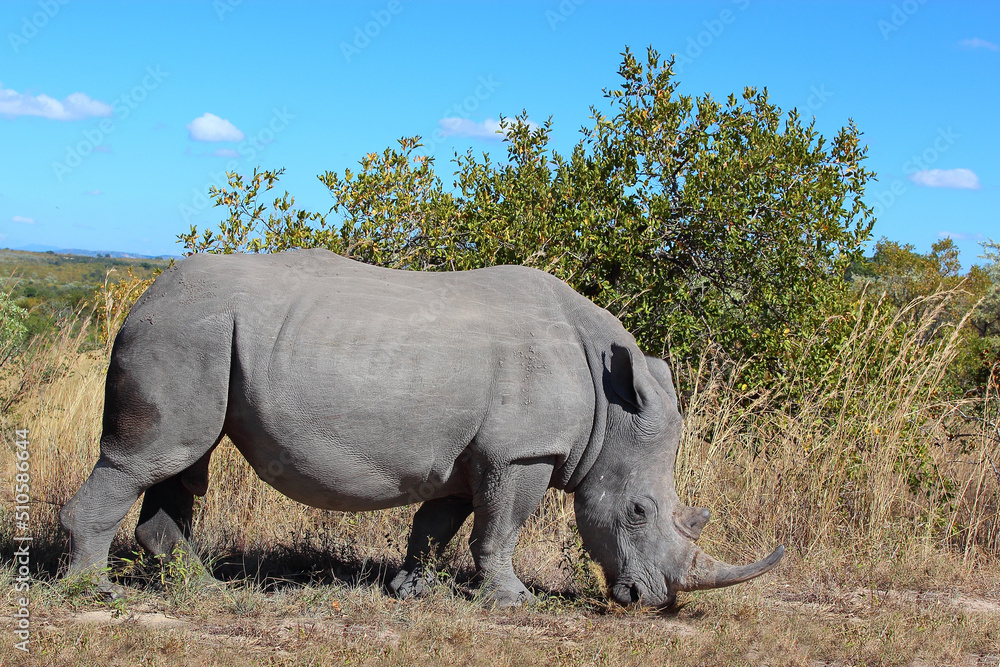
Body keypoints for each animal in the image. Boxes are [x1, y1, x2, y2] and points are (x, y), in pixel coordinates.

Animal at [60, 248, 783, 607]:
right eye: (637, 511)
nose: (651, 599)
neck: (610, 409)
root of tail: (143, 295)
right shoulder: (524, 452)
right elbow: (500, 528)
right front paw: (513, 601)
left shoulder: (476, 452)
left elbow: (438, 523)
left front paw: (411, 589)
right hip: (184, 331)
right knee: (150, 458)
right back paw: (93, 590)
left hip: (199, 334)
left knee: (183, 462)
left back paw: (204, 590)